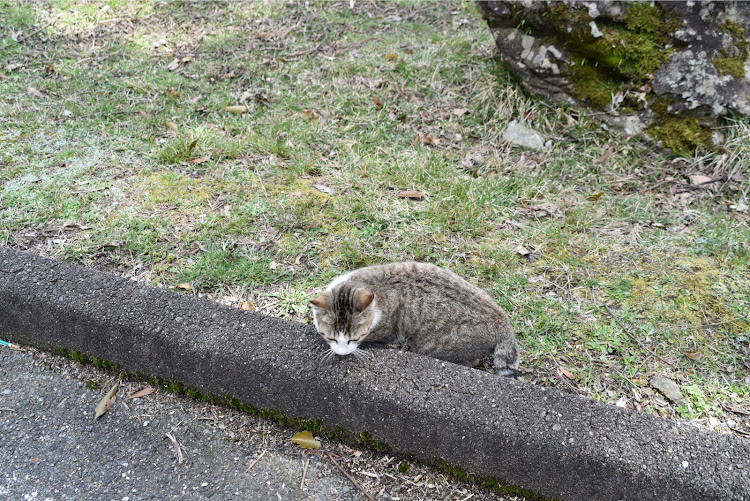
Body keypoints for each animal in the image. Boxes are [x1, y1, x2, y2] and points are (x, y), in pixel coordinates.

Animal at [312, 260, 524, 376]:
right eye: (331, 337)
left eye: (354, 339)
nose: (341, 353)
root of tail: (502, 320)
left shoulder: (386, 330)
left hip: (435, 346)